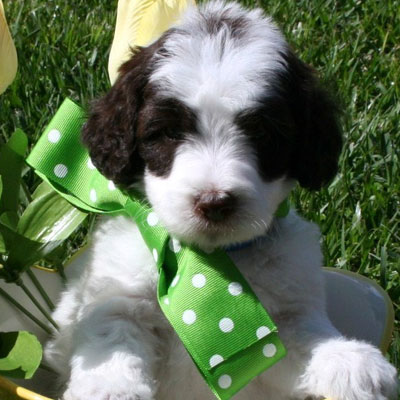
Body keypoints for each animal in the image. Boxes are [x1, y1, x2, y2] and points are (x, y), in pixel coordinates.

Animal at [45, 1, 398, 398]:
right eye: (169, 132)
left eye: (263, 134)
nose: (214, 202)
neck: (210, 259)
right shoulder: (119, 296)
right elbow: (112, 339)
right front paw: (109, 389)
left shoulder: (285, 319)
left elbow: (306, 337)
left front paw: (349, 362)